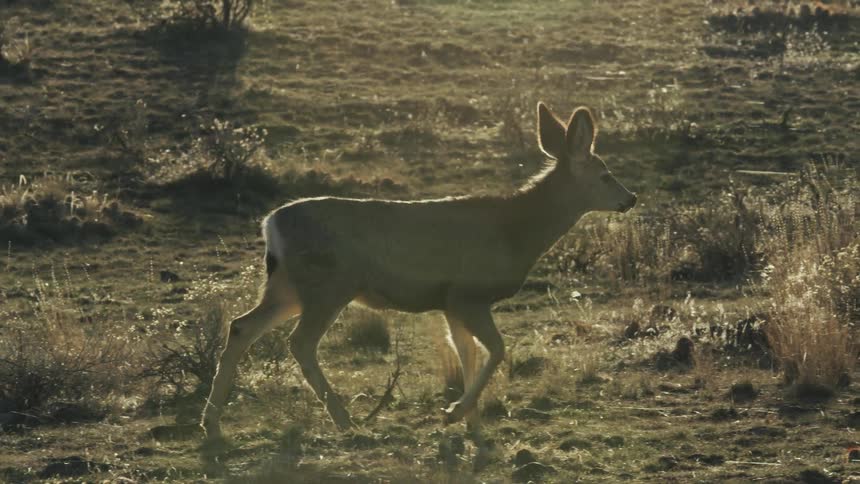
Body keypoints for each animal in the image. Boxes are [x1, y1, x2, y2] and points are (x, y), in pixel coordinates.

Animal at [201, 102, 637, 441]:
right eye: (606, 175)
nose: (630, 198)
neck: (516, 231)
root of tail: (269, 224)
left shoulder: (450, 302)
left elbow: (467, 354)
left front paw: (470, 424)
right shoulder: (468, 293)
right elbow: (495, 350)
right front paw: (456, 413)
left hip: (288, 288)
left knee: (241, 326)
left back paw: (211, 421)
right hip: (329, 284)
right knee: (300, 342)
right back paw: (345, 420)